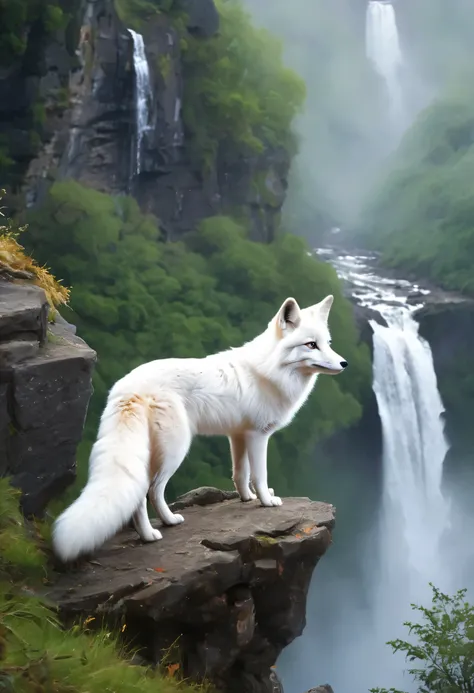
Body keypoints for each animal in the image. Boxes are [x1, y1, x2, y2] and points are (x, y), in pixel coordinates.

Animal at [52, 294, 348, 560]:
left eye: (328, 343)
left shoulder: (238, 435)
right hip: (175, 451)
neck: (269, 370)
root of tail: (127, 389)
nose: (344, 363)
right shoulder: (258, 436)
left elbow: (240, 474)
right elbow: (260, 475)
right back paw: (158, 529)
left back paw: (151, 531)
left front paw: (248, 498)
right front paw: (266, 501)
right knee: (150, 491)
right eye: (311, 345)